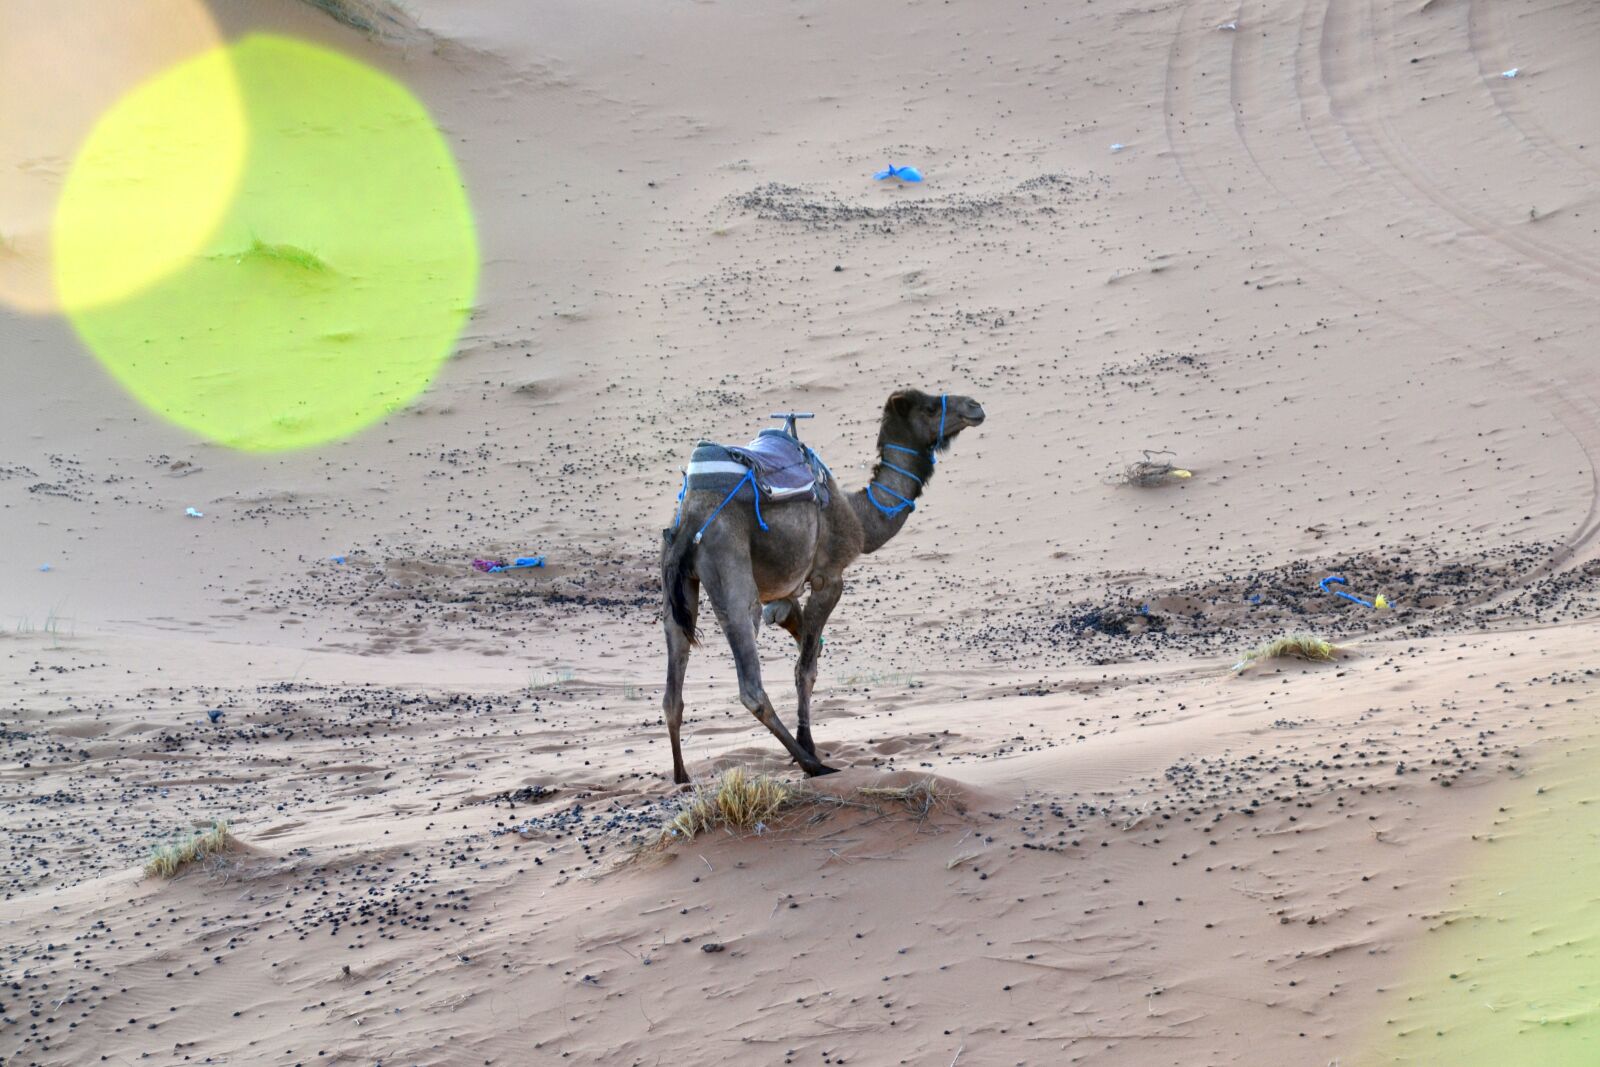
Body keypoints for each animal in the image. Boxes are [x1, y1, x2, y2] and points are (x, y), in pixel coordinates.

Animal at [659, 388, 986, 784]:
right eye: (928, 407)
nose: (974, 406)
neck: (859, 517)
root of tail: (691, 519)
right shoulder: (829, 577)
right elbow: (806, 669)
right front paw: (809, 744)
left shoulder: (785, 596)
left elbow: (805, 644)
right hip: (729, 567)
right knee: (750, 683)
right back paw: (811, 764)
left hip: (677, 581)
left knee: (673, 684)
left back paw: (681, 777)